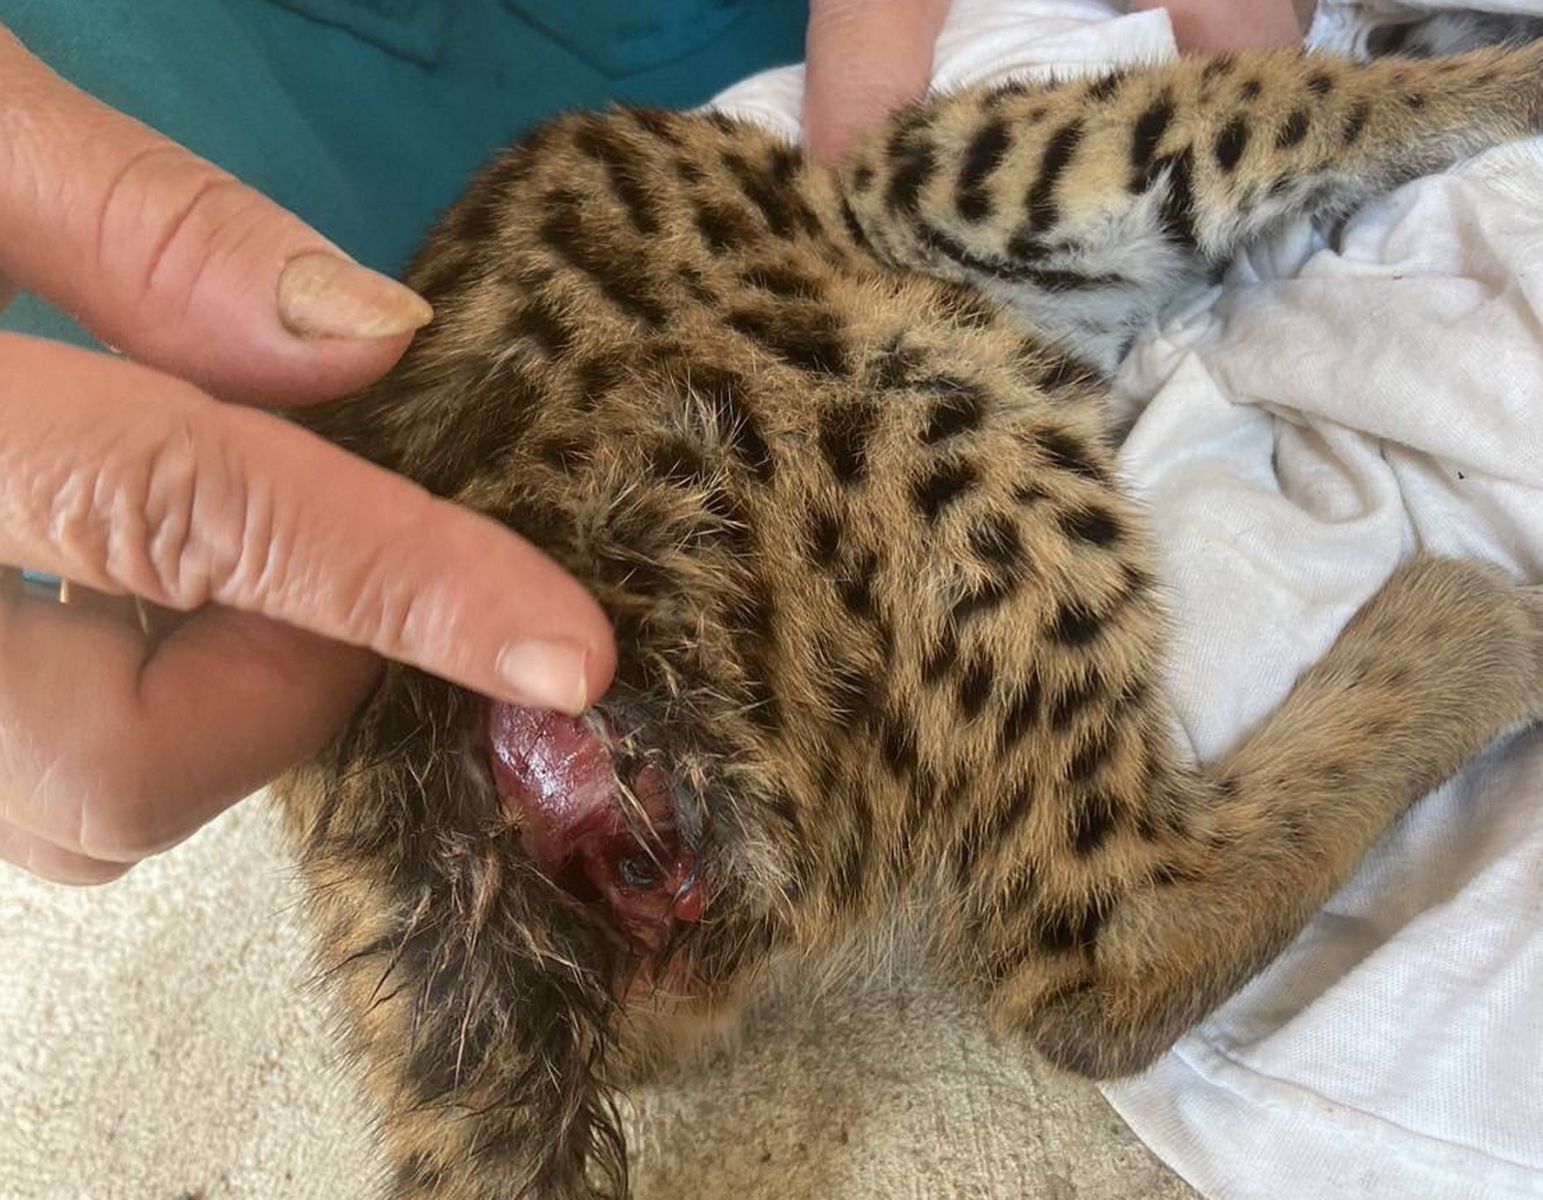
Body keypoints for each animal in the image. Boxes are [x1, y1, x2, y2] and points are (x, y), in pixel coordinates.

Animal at [276, 39, 1543, 1200]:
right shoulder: (955, 174)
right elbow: (1264, 93)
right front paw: (1502, 75)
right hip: (907, 407)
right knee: (1108, 952)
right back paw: (1475, 631)